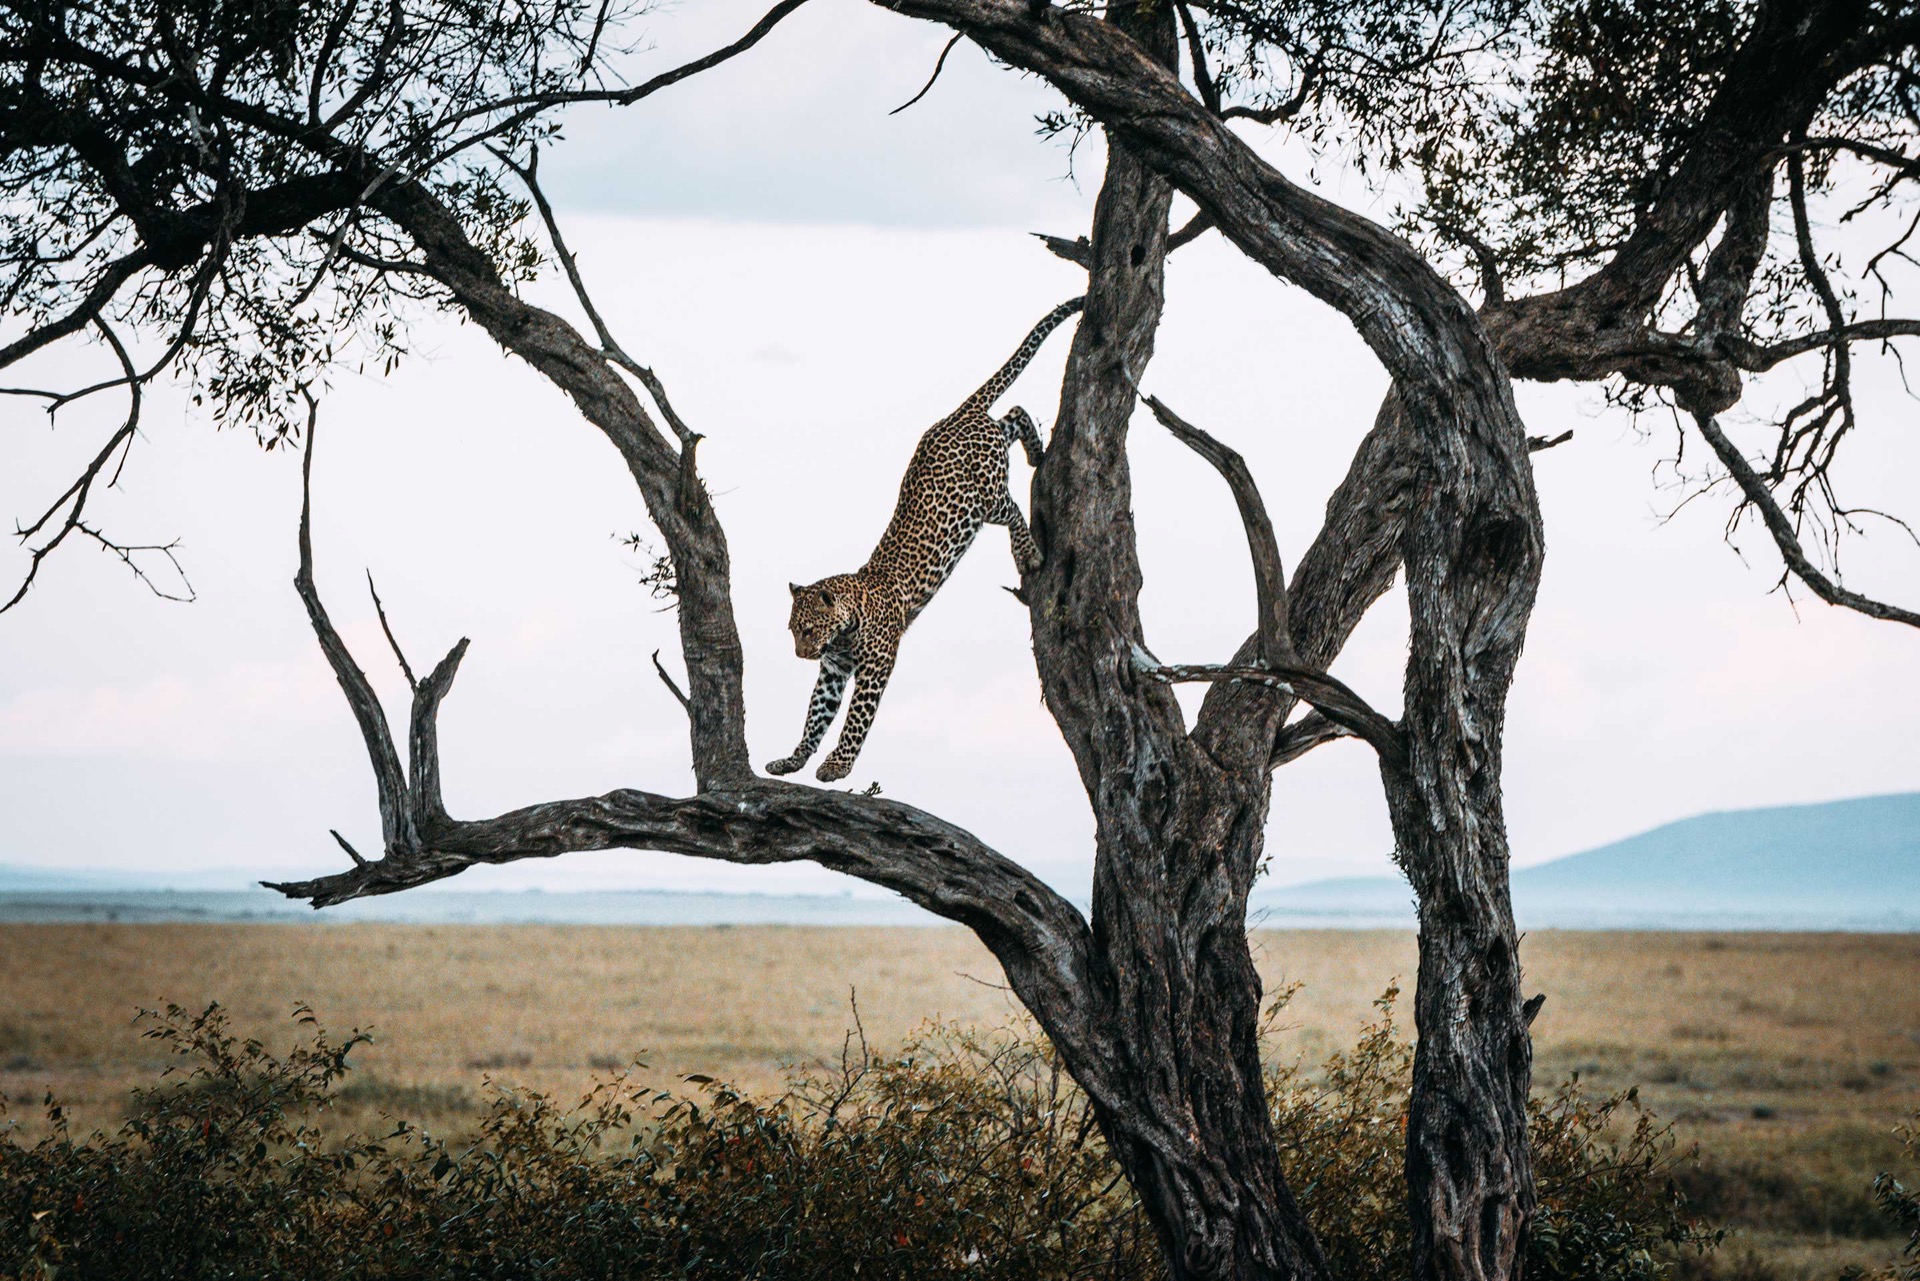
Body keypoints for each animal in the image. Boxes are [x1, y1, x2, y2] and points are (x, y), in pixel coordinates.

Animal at [767, 296, 1085, 783]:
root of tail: (954, 415)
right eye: (792, 631)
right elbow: (813, 720)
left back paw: (1028, 552)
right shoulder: (832, 672)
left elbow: (855, 720)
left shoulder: (875, 665)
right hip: (991, 451)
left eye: (807, 629)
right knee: (1012, 414)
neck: (843, 630)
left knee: (1012, 506)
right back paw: (1035, 451)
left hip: (984, 500)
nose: (801, 655)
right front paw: (792, 759)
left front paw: (837, 765)